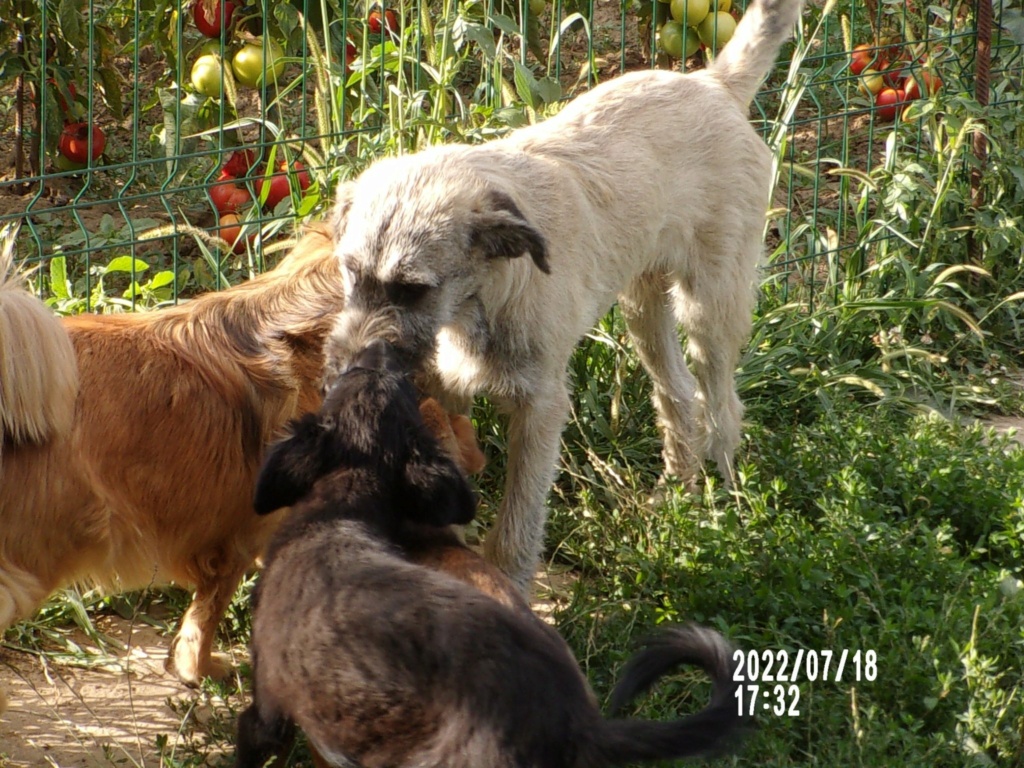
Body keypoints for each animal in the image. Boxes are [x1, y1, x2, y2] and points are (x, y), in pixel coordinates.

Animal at [323, 0, 802, 589]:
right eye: (350, 273)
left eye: (414, 290)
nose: (344, 370)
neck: (477, 302)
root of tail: (712, 81)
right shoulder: (448, 394)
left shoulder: (540, 407)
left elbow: (517, 525)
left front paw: (508, 586)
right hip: (643, 306)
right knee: (678, 394)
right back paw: (676, 497)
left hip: (709, 305)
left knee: (723, 405)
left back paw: (727, 511)